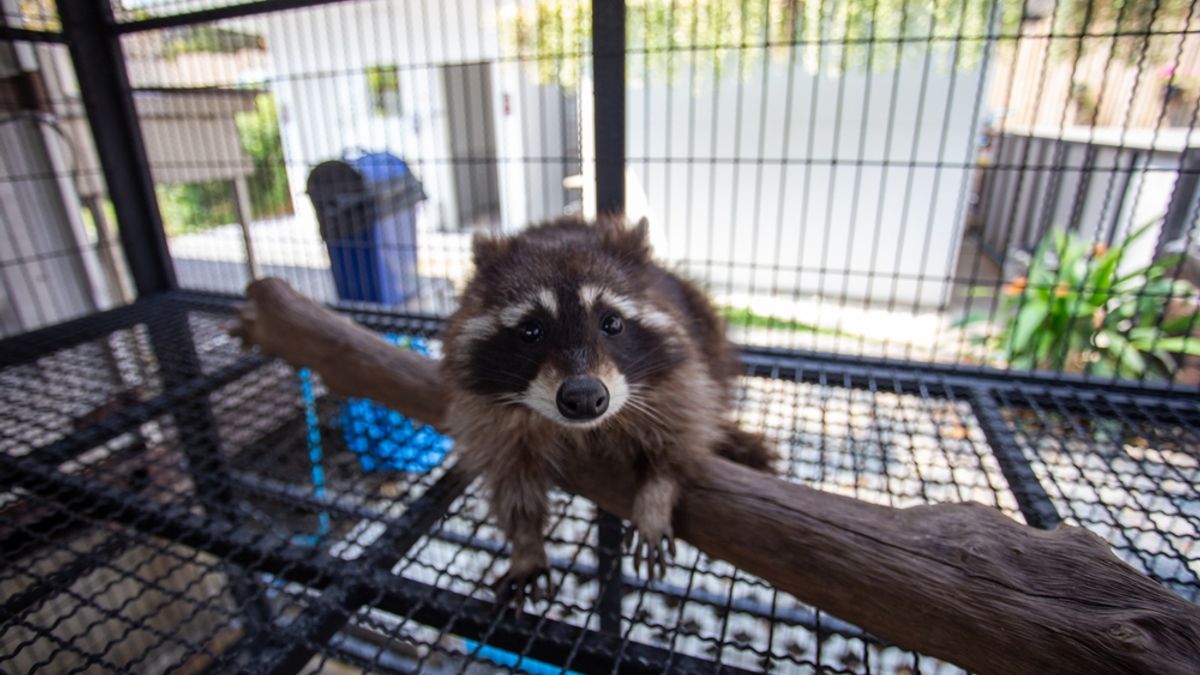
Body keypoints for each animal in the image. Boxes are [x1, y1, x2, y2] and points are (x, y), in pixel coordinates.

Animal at [441, 215, 775, 606]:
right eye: (531, 331)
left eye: (612, 323)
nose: (585, 397)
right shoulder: (485, 411)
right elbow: (509, 477)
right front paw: (525, 542)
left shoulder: (676, 375)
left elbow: (680, 431)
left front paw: (656, 495)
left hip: (707, 327)